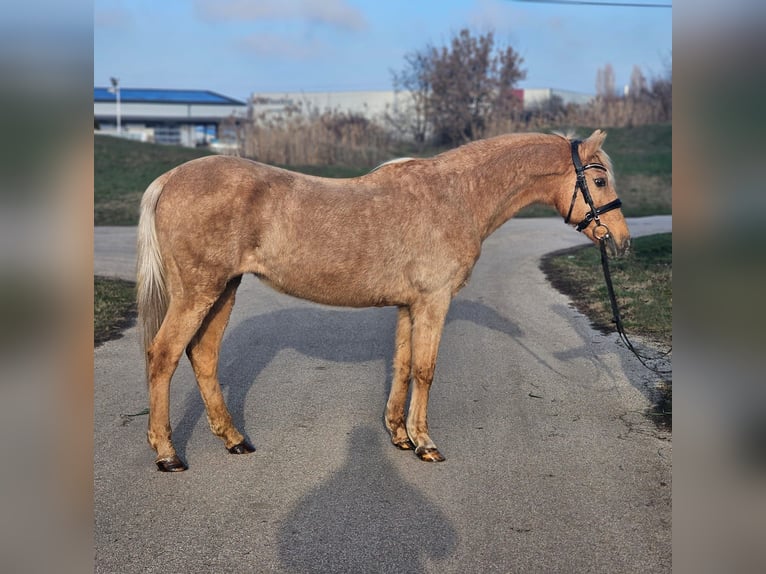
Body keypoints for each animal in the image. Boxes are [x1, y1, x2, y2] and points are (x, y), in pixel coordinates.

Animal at [136, 129, 630, 472]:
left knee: (203, 355)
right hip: (199, 292)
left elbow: (403, 364)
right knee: (164, 356)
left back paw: (234, 439)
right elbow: (426, 370)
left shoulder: (410, 306)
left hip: (225, 289)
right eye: (599, 179)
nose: (621, 241)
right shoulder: (433, 302)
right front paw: (426, 444)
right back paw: (167, 453)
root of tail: (169, 179)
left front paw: (400, 436)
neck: (456, 195)